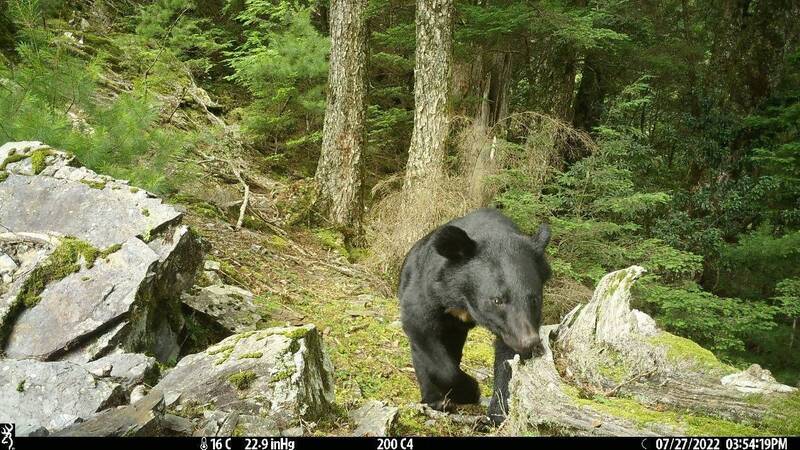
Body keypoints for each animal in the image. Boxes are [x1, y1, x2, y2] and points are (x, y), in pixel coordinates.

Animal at [398, 207, 551, 425]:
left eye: (534, 298)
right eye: (497, 300)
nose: (529, 342)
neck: (463, 300)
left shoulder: (510, 327)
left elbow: (507, 360)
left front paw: (494, 417)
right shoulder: (428, 290)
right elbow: (422, 328)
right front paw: (470, 390)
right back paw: (436, 400)